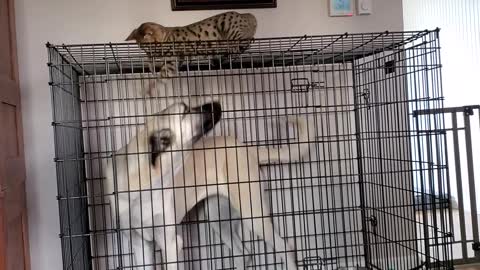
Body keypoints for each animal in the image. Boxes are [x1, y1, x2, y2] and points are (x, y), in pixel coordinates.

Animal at [104, 101, 312, 270]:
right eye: (185, 111)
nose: (216, 103)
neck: (142, 187)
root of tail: (244, 146)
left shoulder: (170, 243)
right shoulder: (139, 245)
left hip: (253, 215)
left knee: (285, 248)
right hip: (218, 218)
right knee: (243, 253)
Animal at [125, 10, 256, 97]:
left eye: (148, 46)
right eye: (143, 48)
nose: (150, 53)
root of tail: (246, 14)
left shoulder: (171, 61)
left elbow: (161, 77)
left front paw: (149, 89)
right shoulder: (177, 59)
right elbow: (151, 63)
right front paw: (151, 67)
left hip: (230, 28)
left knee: (244, 41)